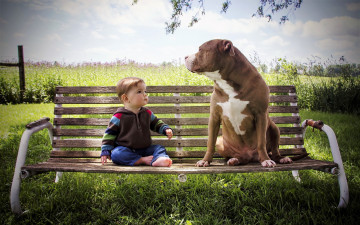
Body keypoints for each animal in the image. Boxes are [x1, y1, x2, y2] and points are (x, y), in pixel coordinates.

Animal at [186, 39, 292, 167]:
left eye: (200, 49)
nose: (185, 56)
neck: (227, 82)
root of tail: (250, 157)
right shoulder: (214, 117)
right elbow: (210, 142)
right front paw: (205, 160)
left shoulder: (261, 115)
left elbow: (261, 142)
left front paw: (266, 160)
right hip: (221, 141)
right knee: (236, 156)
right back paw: (234, 159)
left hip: (275, 129)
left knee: (275, 150)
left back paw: (281, 158)